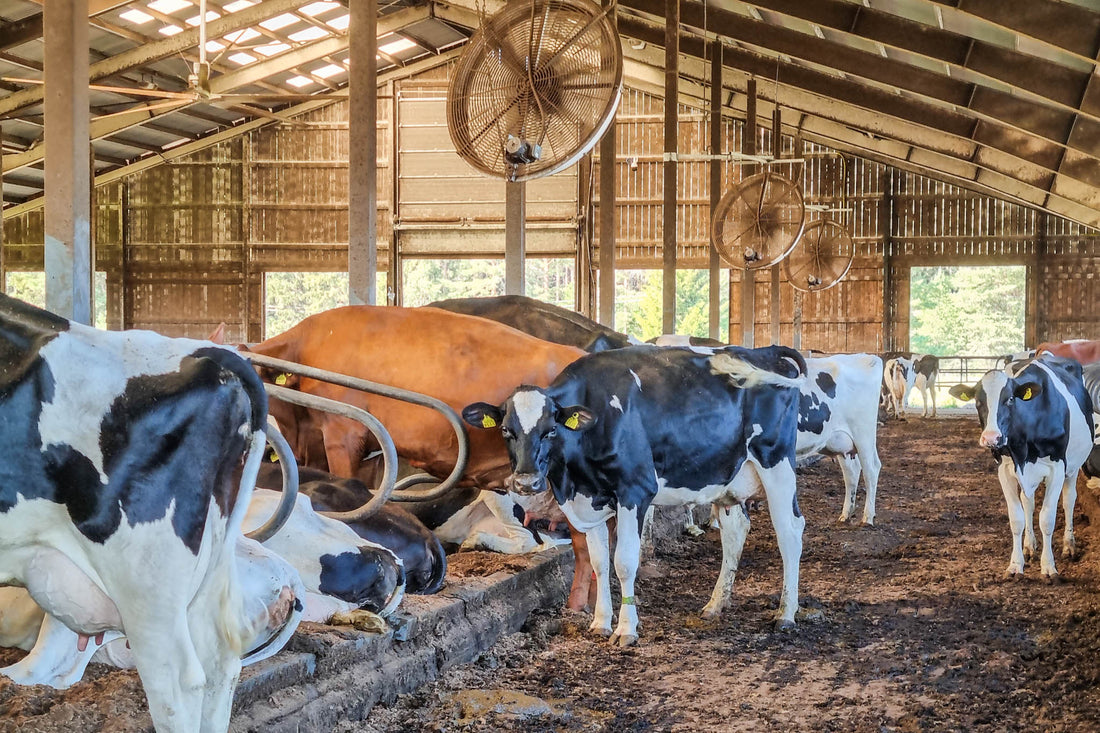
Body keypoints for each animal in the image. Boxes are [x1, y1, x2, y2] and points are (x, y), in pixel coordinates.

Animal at [459, 343, 805, 647]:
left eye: (551, 430)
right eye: (506, 431)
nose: (526, 482)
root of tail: (765, 351)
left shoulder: (635, 489)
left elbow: (624, 561)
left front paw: (626, 630)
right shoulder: (588, 499)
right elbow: (599, 562)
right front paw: (600, 623)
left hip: (776, 461)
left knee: (789, 531)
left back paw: (786, 613)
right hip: (727, 475)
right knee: (735, 531)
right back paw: (715, 604)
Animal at [950, 352, 1095, 576]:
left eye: (1010, 399)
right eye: (978, 401)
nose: (991, 437)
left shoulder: (1057, 467)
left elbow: (1047, 518)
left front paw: (1049, 567)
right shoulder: (1005, 469)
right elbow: (1016, 517)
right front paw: (1015, 565)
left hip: (1072, 468)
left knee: (1069, 500)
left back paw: (1069, 546)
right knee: (1028, 502)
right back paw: (1029, 546)